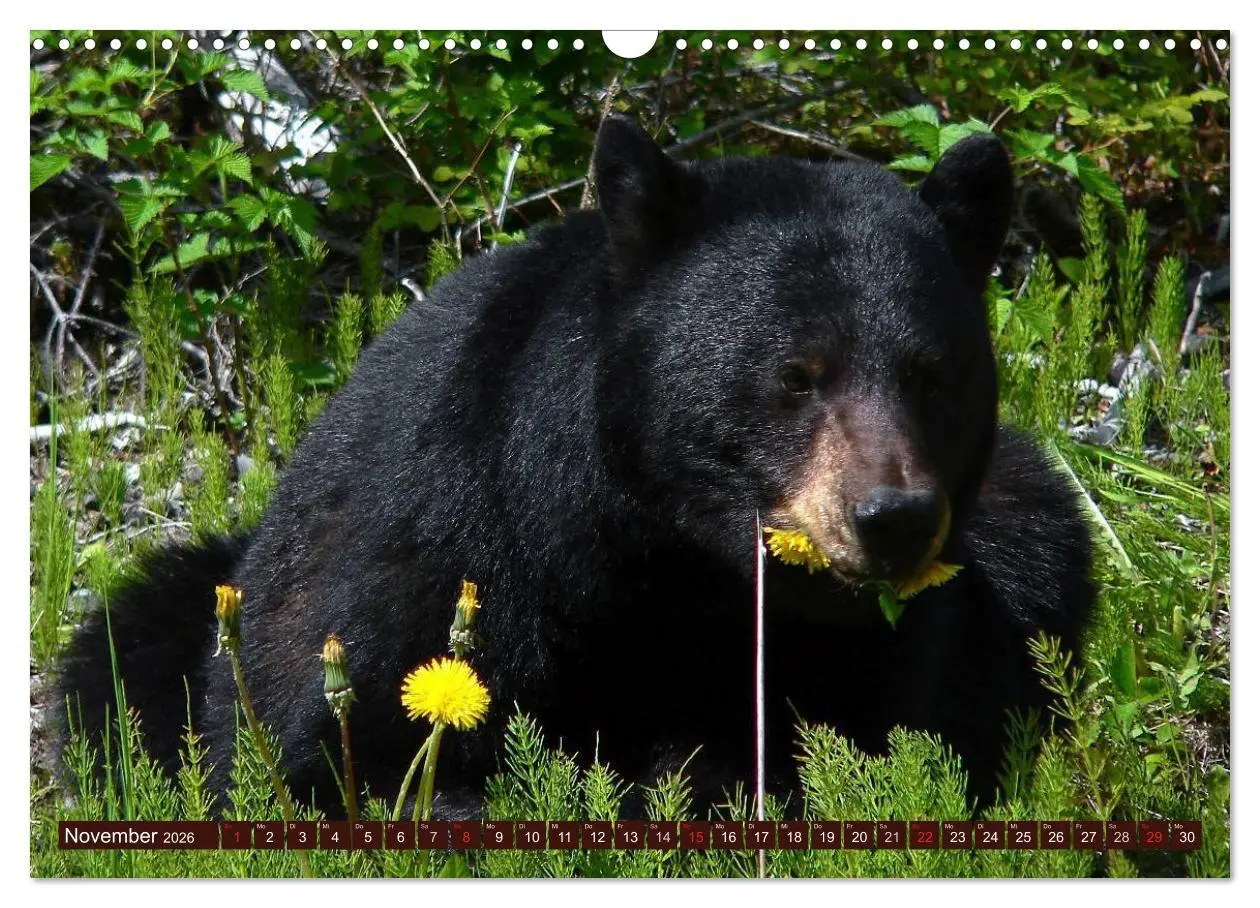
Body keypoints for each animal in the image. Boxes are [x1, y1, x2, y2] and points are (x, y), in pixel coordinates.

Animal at [56, 116, 1094, 817]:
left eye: (931, 373)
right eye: (796, 374)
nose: (892, 518)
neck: (661, 556)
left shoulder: (875, 642)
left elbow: (854, 739)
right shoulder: (440, 542)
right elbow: (335, 751)